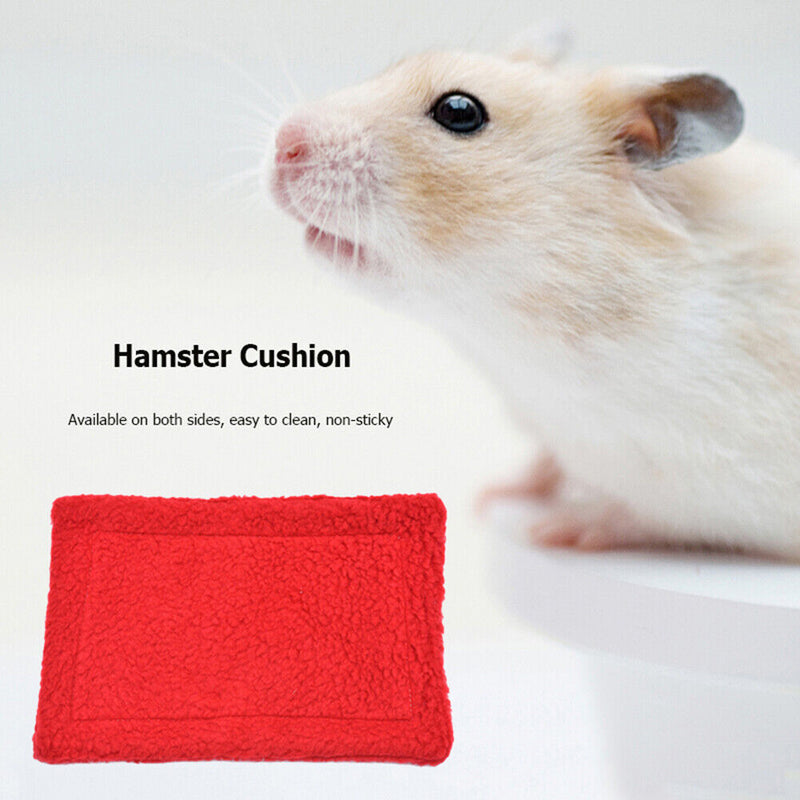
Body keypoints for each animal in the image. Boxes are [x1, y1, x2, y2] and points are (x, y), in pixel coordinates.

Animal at [268, 41, 800, 560]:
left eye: (459, 111)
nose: (282, 143)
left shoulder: (717, 479)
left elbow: (651, 514)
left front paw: (553, 529)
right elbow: (544, 463)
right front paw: (494, 494)